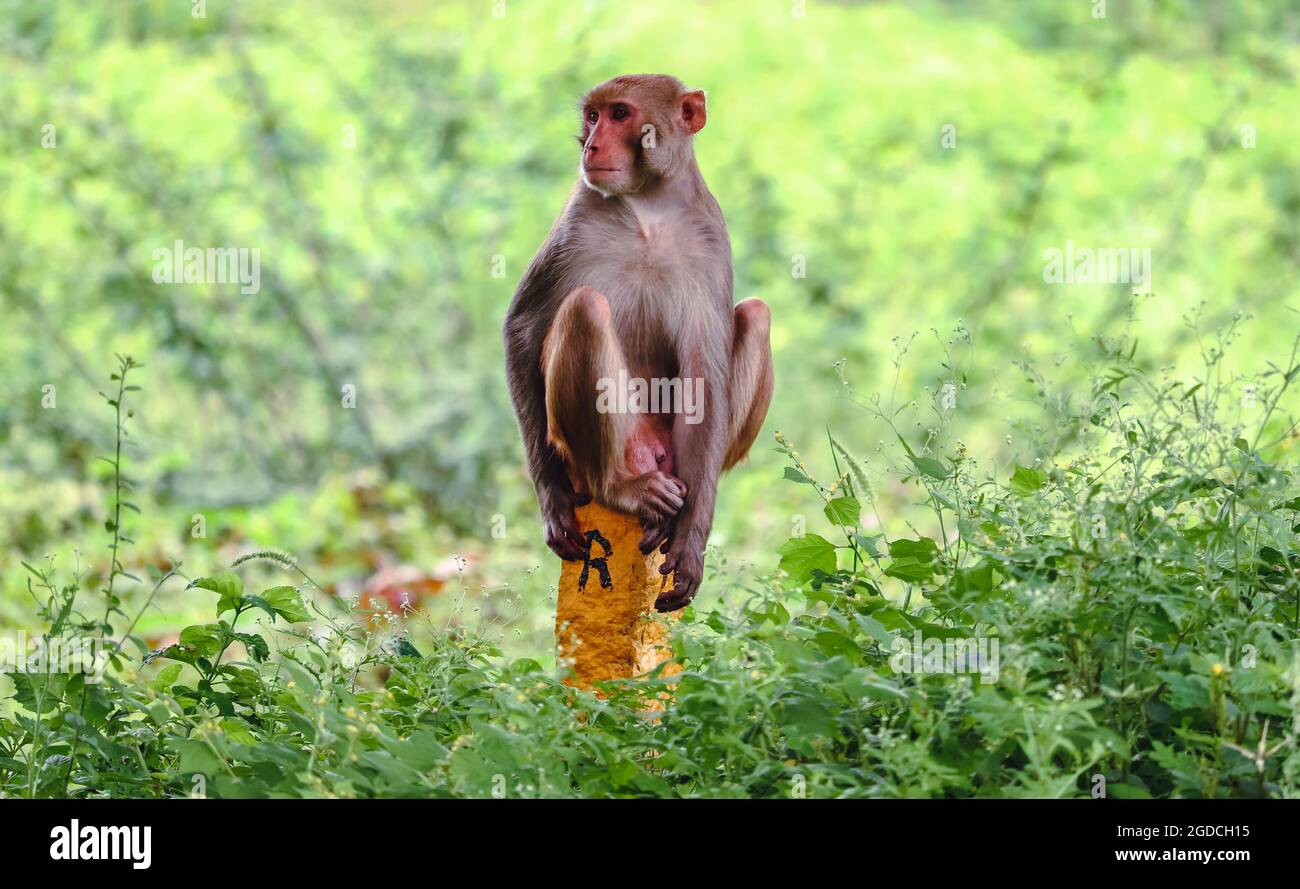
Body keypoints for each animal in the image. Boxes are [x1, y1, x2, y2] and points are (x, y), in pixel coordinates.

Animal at [504, 74, 769, 610]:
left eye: (620, 114)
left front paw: (691, 540)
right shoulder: (576, 217)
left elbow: (703, 373)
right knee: (585, 307)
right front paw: (552, 499)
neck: (649, 209)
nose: (590, 144)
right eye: (592, 116)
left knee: (756, 314)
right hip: (611, 444)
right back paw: (618, 488)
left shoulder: (712, 240)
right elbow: (522, 328)